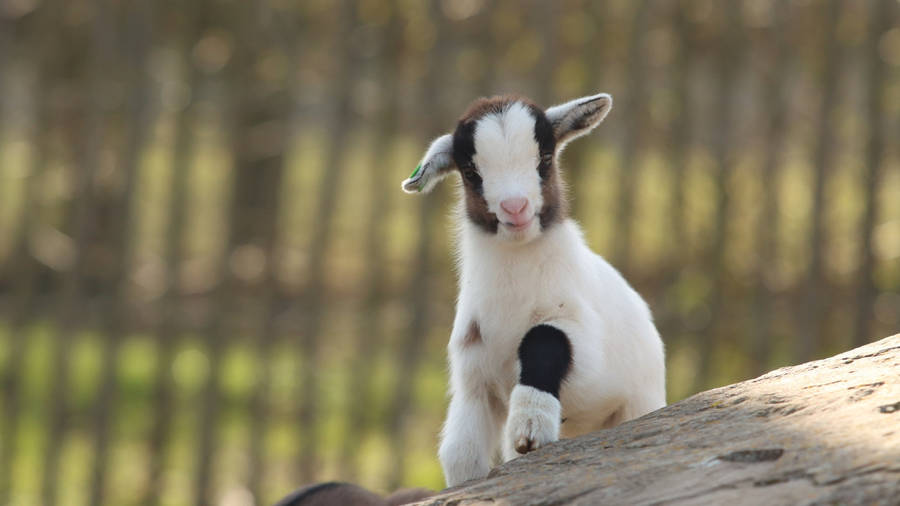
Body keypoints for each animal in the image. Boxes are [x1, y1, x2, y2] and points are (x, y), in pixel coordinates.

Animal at [401, 93, 666, 487]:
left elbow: (544, 339)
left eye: (544, 158)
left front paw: (529, 424)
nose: (515, 207)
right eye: (471, 172)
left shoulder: (582, 337)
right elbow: (461, 453)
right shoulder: (473, 377)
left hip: (638, 401)